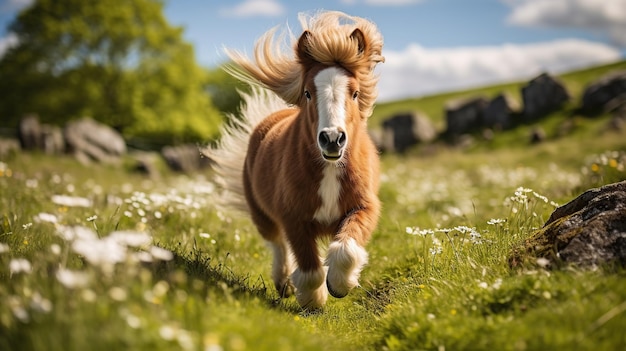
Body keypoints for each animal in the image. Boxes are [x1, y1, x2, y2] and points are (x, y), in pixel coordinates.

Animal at [207, 9, 382, 310]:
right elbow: (309, 266)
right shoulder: (294, 218)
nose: (332, 138)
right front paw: (313, 298)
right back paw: (284, 283)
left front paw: (339, 284)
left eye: (356, 93)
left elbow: (346, 248)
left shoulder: (364, 206)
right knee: (277, 244)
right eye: (308, 93)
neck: (329, 168)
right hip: (261, 214)